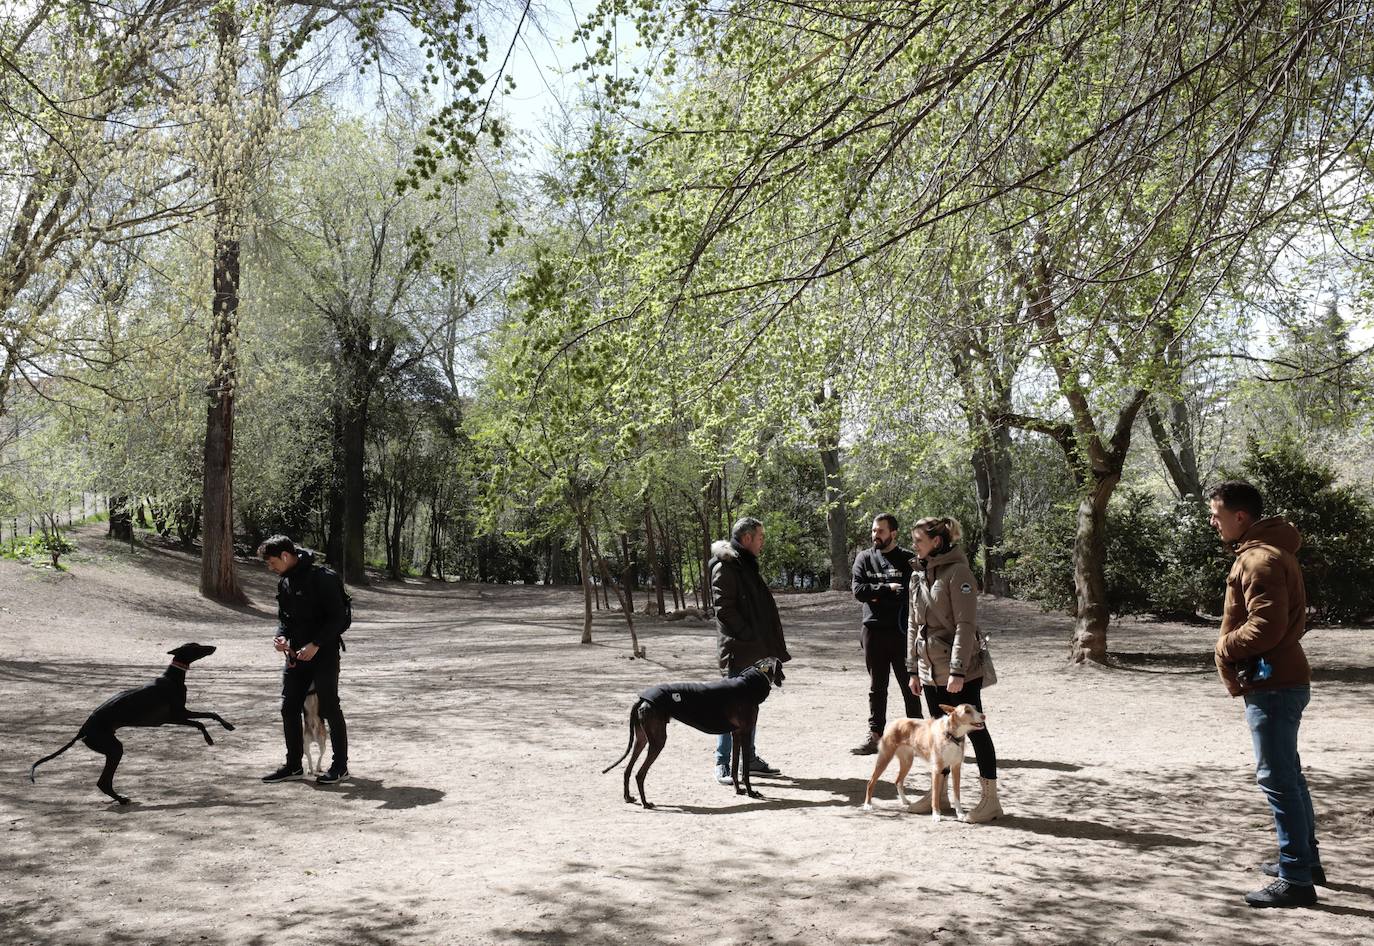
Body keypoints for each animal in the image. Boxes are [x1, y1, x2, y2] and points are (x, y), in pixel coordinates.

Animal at [857, 700, 989, 818]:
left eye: (975, 708)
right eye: (967, 711)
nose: (984, 716)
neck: (951, 736)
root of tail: (895, 721)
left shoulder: (956, 768)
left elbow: (957, 794)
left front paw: (960, 814)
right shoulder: (937, 769)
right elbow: (935, 795)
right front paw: (936, 815)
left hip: (907, 762)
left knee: (898, 781)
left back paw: (905, 801)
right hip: (885, 757)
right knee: (871, 782)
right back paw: (867, 805)